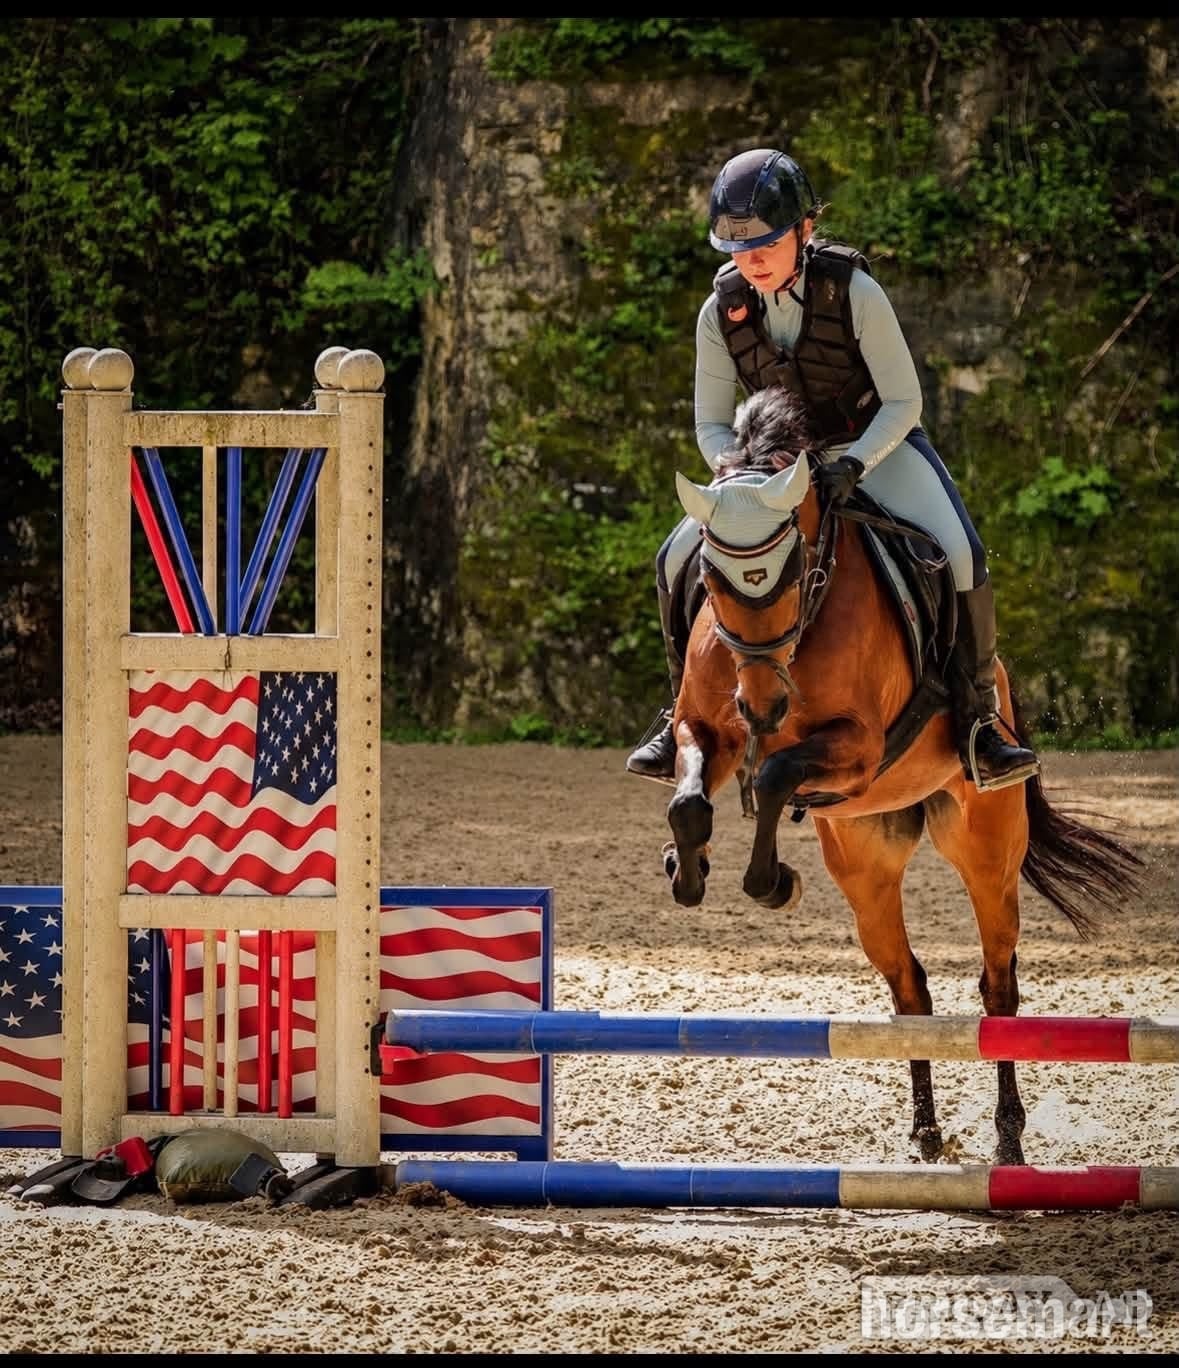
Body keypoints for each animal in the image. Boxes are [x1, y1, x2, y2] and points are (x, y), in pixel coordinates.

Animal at [663, 385, 1144, 1165]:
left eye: (789, 573)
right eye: (708, 576)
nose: (761, 705)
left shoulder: (857, 750)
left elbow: (772, 778)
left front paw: (772, 882)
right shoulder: (705, 730)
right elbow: (690, 800)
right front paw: (686, 868)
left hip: (983, 848)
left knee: (997, 989)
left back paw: (1008, 1141)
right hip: (865, 860)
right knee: (910, 989)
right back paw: (924, 1130)